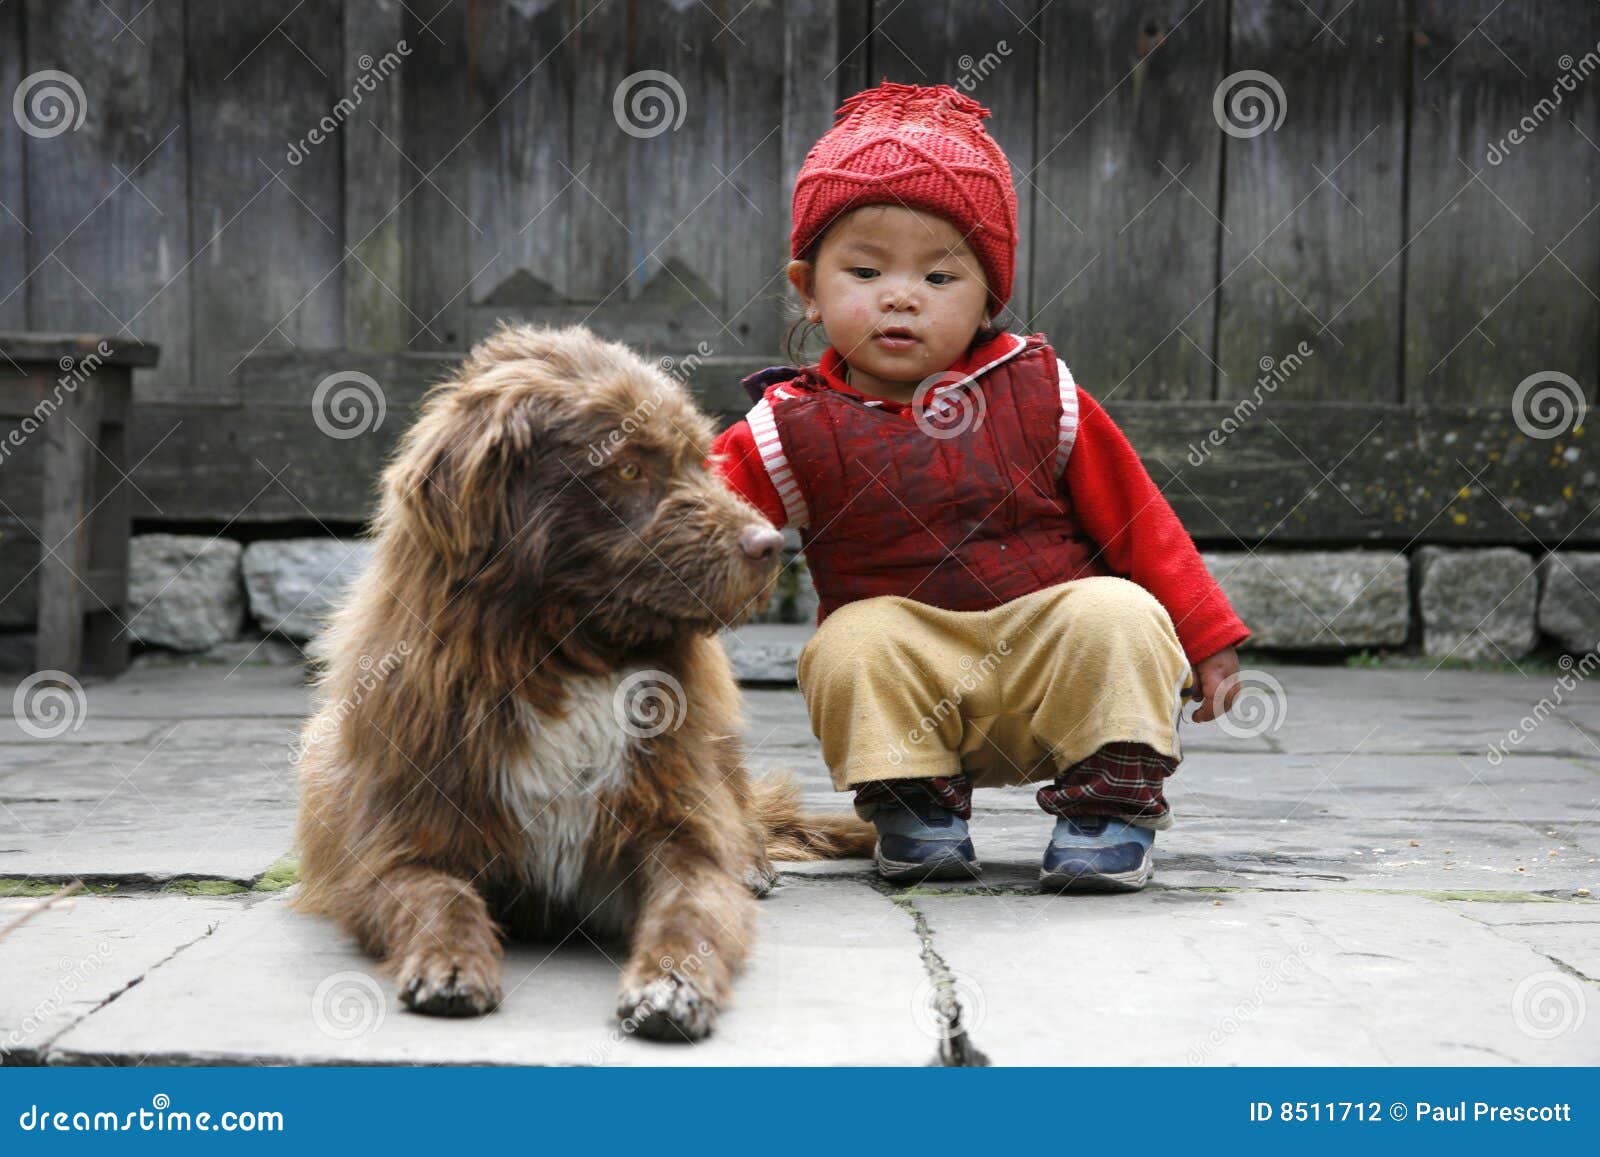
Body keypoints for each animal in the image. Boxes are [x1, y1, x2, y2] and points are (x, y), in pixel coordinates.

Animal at [300, 323, 876, 1043]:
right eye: (627, 466)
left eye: (697, 459)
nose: (771, 545)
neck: (564, 657)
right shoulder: (396, 846)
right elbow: (438, 897)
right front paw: (451, 964)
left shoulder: (675, 828)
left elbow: (690, 906)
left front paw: (671, 985)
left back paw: (753, 863)